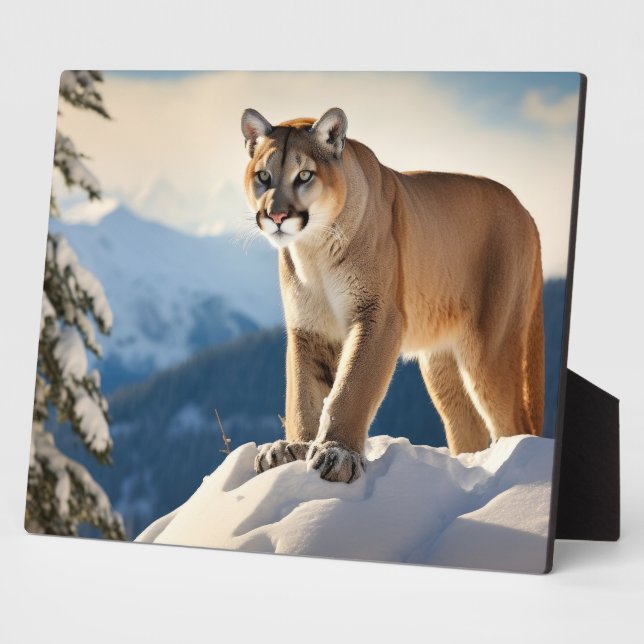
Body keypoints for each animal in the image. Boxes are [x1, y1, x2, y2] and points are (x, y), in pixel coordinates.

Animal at [241, 107, 544, 484]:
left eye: (305, 175)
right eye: (263, 176)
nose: (277, 215)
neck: (314, 250)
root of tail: (525, 211)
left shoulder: (378, 315)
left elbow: (352, 386)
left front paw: (337, 454)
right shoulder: (307, 327)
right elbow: (301, 393)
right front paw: (291, 449)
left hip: (490, 348)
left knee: (513, 421)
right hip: (441, 362)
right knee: (466, 424)